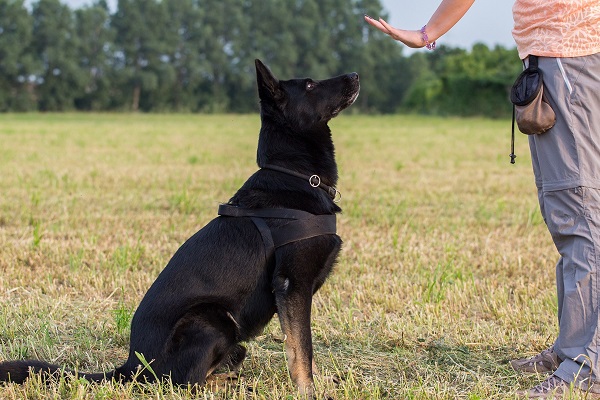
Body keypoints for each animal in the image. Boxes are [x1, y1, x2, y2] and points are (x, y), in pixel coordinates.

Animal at [0, 59, 356, 396]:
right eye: (309, 84)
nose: (354, 75)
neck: (295, 174)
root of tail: (131, 366)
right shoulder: (292, 286)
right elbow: (302, 349)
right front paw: (309, 391)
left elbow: (302, 347)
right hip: (213, 320)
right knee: (185, 383)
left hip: (231, 339)